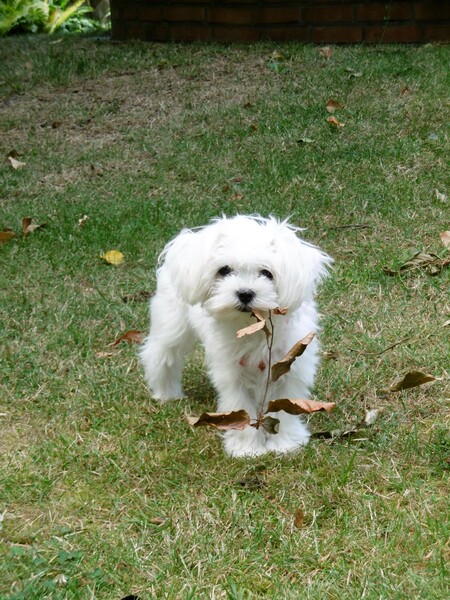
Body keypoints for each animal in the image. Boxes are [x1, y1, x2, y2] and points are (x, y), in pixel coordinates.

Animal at [140, 216, 330, 454]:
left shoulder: (290, 365)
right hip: (172, 322)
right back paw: (166, 392)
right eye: (224, 270)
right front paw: (246, 448)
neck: (255, 328)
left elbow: (285, 406)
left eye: (267, 273)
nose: (245, 293)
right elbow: (241, 408)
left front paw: (285, 443)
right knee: (162, 354)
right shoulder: (232, 373)